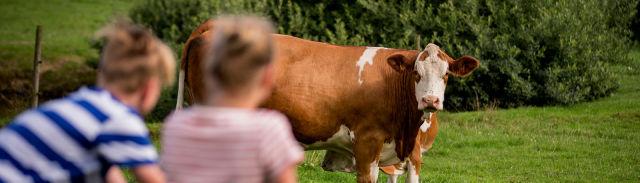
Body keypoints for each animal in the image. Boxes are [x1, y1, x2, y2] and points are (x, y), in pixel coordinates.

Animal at [178, 20, 478, 183]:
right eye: (416, 73)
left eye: (446, 75)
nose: (430, 100)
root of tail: (212, 26)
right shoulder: (367, 144)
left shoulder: (413, 156)